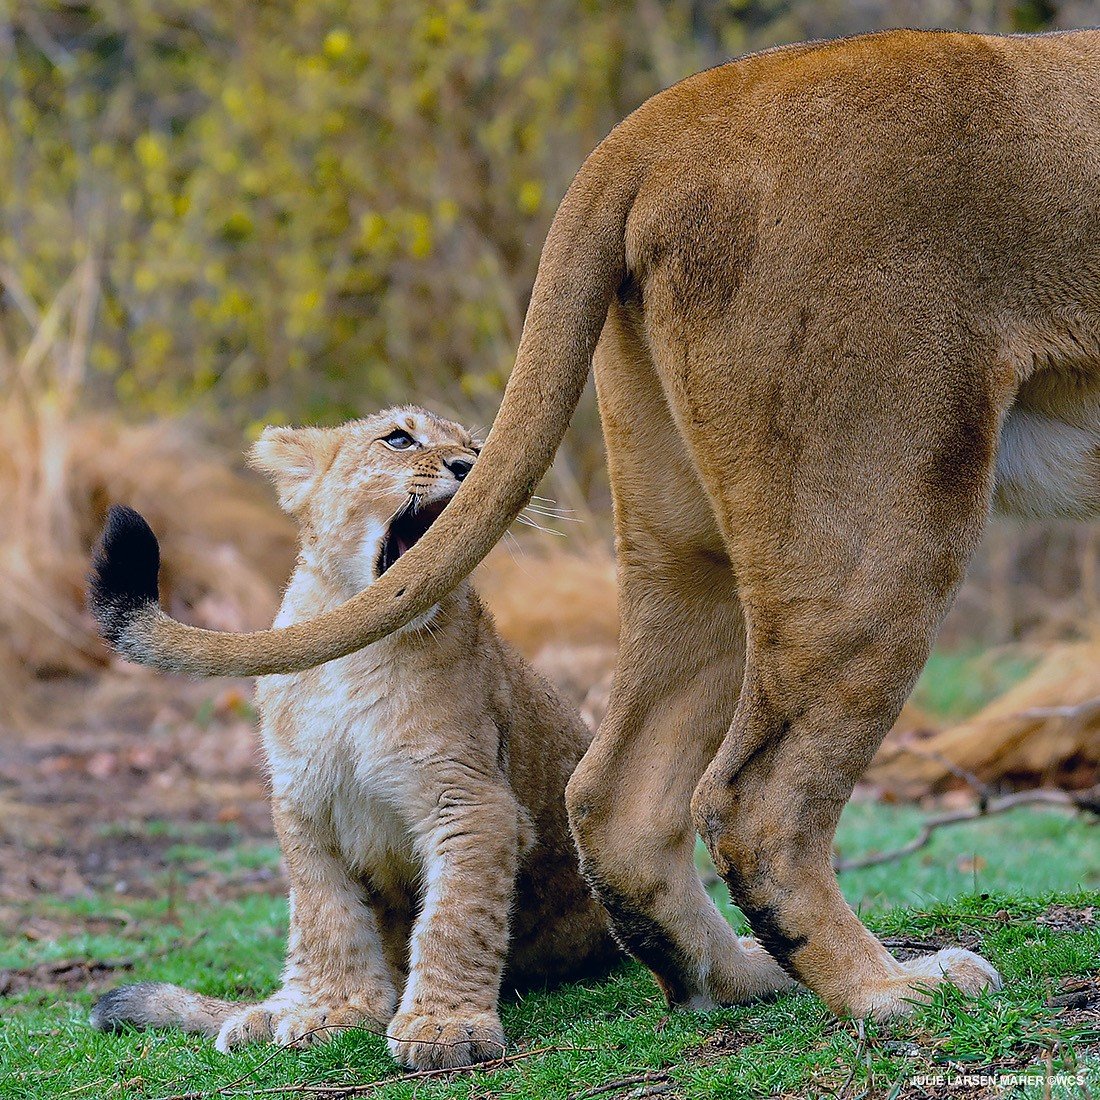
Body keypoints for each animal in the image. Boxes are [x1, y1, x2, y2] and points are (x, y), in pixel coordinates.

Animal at [96, 27, 1100, 1020]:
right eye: (399, 439)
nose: (461, 464)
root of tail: (662, 120)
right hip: (881, 508)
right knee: (755, 801)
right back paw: (889, 992)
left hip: (689, 537)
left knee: (622, 795)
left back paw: (730, 979)